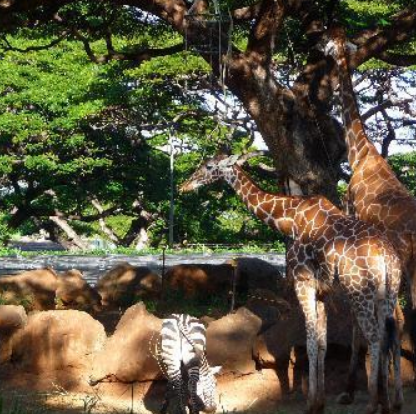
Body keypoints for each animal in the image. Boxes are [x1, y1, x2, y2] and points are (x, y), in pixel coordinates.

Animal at [181, 154, 404, 414]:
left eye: (208, 166)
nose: (184, 185)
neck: (289, 218)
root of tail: (385, 255)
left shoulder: (303, 282)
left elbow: (309, 342)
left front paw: (310, 403)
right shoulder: (322, 292)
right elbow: (322, 343)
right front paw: (320, 401)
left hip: (359, 292)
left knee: (374, 336)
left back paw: (372, 403)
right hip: (387, 294)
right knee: (390, 334)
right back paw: (389, 402)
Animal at [324, 25, 416, 388]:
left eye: (329, 45)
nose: (321, 54)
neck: (361, 154)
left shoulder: (349, 214)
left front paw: (353, 382)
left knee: (397, 317)